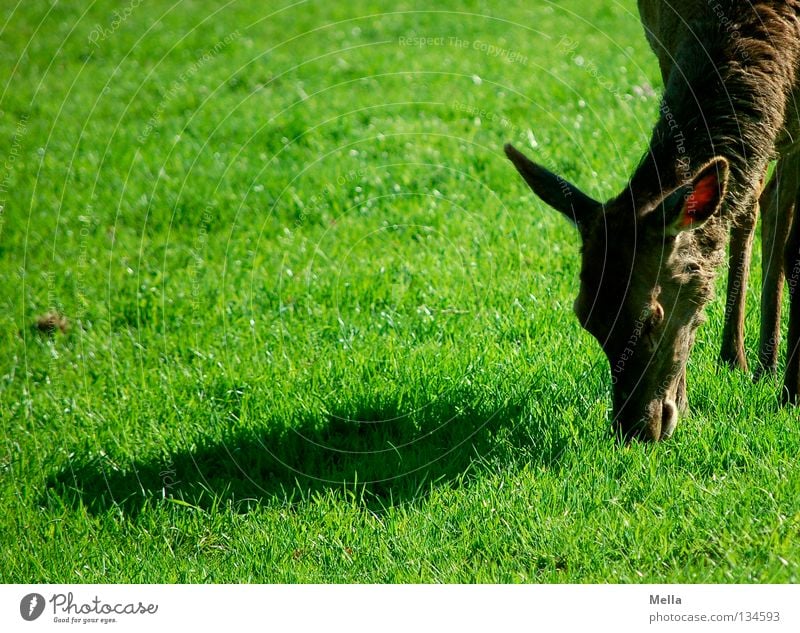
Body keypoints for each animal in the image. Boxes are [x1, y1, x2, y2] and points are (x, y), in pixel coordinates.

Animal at [506, 1, 800, 440]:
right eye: (585, 316)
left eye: (652, 318)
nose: (633, 430)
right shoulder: (665, 46)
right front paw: (689, 402)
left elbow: (795, 250)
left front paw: (792, 396)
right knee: (758, 200)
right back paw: (747, 361)